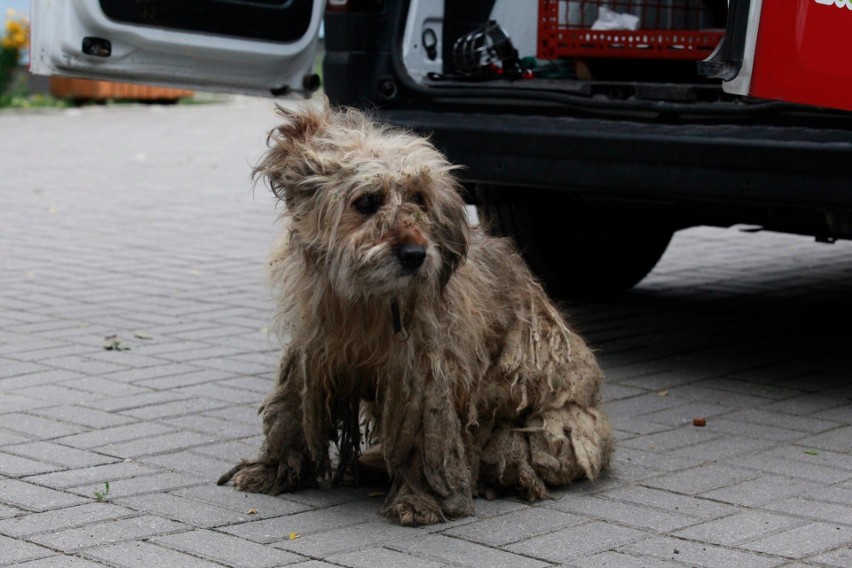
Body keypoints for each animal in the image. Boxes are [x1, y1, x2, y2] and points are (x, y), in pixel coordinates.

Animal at [220, 100, 612, 524]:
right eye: (367, 201)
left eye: (420, 199)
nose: (414, 254)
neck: (366, 300)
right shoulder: (313, 351)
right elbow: (292, 407)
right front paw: (273, 468)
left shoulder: (424, 376)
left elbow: (428, 439)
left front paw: (420, 499)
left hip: (543, 432)